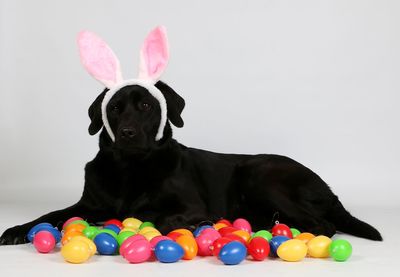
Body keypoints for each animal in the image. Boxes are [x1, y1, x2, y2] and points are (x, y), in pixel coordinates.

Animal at [0, 81, 382, 244]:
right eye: (114, 108)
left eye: (145, 106)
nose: (126, 133)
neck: (130, 168)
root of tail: (329, 189)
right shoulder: (87, 204)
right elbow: (50, 214)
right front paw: (18, 230)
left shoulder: (189, 204)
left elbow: (158, 217)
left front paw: (200, 223)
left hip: (260, 173)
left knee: (323, 225)